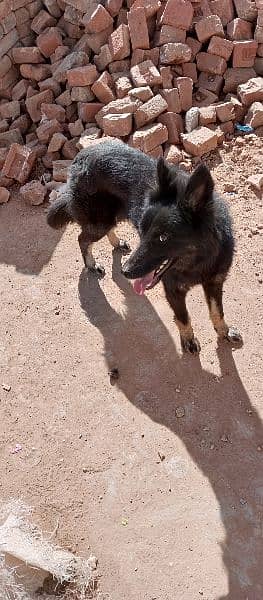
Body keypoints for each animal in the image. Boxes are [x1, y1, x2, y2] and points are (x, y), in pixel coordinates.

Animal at [46, 139, 242, 352]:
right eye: (142, 230)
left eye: (163, 237)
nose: (125, 272)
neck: (199, 261)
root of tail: (81, 155)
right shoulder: (173, 289)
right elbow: (183, 318)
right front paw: (189, 340)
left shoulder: (214, 282)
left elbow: (217, 312)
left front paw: (224, 332)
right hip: (99, 222)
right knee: (82, 238)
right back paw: (91, 264)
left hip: (114, 216)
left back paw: (117, 243)